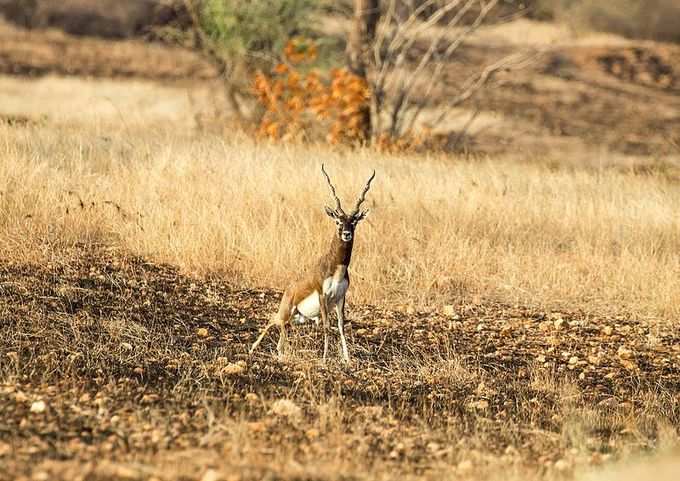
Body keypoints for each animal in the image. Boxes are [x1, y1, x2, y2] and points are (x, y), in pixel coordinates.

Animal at [250, 164, 378, 360]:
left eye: (354, 221)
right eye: (338, 221)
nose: (346, 234)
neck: (337, 269)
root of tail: (289, 290)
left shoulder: (341, 298)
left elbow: (341, 327)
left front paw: (347, 359)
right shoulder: (322, 296)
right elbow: (326, 326)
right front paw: (325, 358)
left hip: (297, 318)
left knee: (281, 332)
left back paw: (279, 352)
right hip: (287, 312)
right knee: (273, 319)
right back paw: (252, 349)